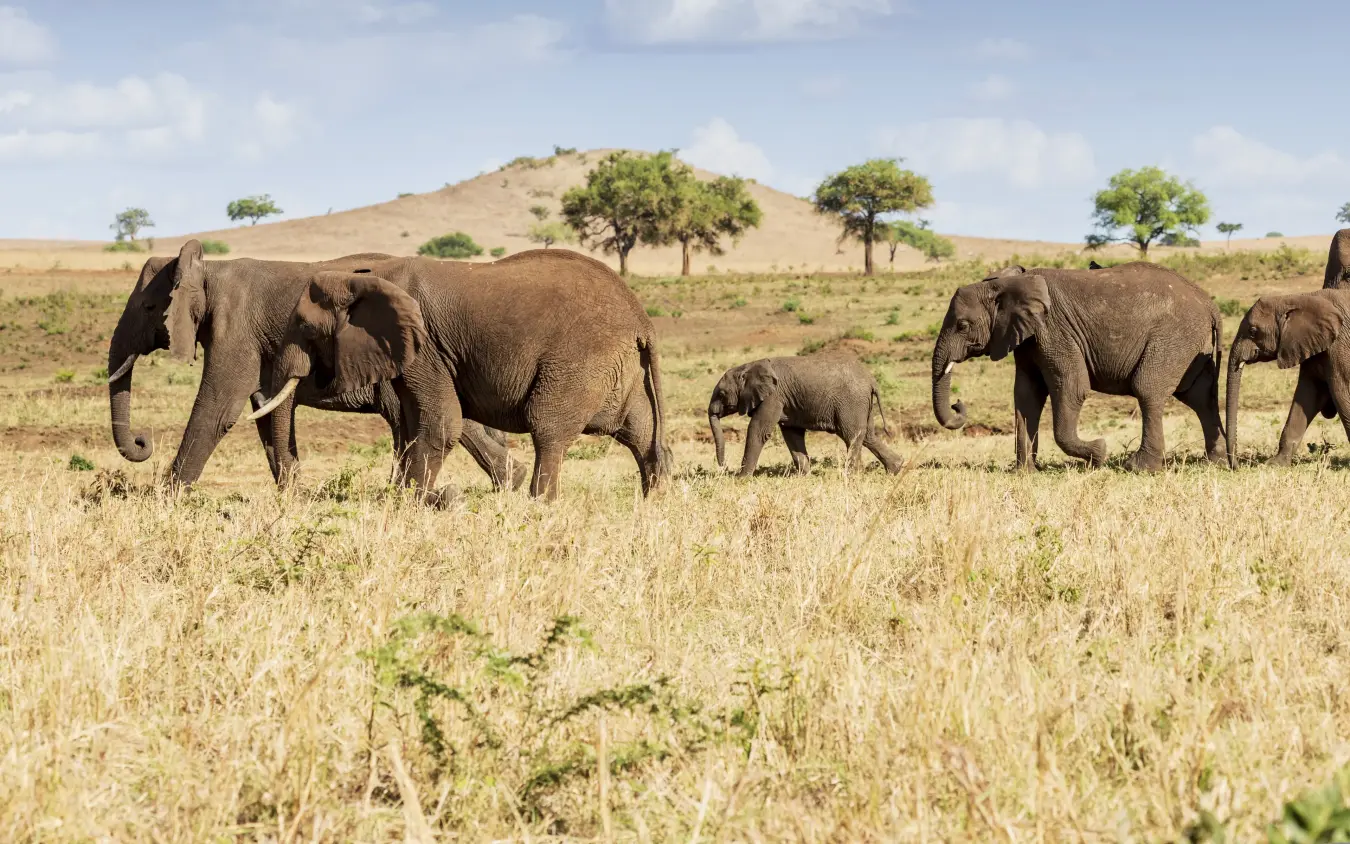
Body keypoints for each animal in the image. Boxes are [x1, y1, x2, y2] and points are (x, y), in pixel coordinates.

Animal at [107, 241, 526, 491]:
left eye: (148, 307)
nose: (143, 441)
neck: (208, 270)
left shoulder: (235, 326)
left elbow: (219, 408)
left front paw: (166, 499)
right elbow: (263, 410)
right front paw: (292, 495)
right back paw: (512, 482)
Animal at [248, 249, 670, 502]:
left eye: (305, 328)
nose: (296, 496)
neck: (367, 277)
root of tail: (642, 319)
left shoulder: (426, 346)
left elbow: (439, 423)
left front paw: (416, 502)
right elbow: (411, 423)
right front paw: (412, 497)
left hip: (579, 360)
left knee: (548, 429)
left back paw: (540, 504)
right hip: (617, 366)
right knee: (639, 429)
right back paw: (656, 499)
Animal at [707, 354, 904, 477]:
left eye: (722, 394)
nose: (724, 469)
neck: (748, 366)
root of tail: (871, 380)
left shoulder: (773, 396)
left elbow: (758, 430)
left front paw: (741, 478)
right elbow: (792, 434)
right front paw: (805, 477)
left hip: (851, 401)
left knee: (852, 436)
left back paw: (851, 476)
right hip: (862, 403)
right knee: (868, 436)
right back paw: (896, 468)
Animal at [932, 262, 1226, 472]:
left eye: (962, 326)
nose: (958, 404)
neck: (1008, 283)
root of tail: (1210, 304)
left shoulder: (1054, 331)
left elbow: (1072, 388)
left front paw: (1099, 453)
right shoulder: (1026, 338)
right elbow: (1027, 395)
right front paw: (1024, 473)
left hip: (1173, 338)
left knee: (1148, 389)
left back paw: (1138, 468)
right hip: (1190, 345)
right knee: (1200, 397)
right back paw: (1218, 461)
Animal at [1225, 289, 1350, 467]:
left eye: (1253, 331)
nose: (1236, 466)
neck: (1300, 297)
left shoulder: (1339, 346)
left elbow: (1342, 393)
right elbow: (1308, 394)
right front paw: (1274, 464)